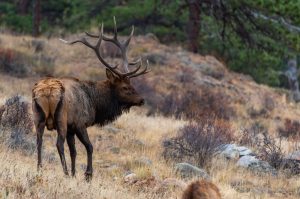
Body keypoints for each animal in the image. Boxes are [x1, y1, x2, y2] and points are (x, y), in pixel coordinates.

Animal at [32, 19, 149, 180]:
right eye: (125, 87)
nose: (142, 100)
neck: (94, 103)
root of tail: (47, 92)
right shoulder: (79, 123)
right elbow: (89, 147)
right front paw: (87, 174)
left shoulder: (71, 129)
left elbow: (74, 152)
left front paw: (75, 174)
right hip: (61, 118)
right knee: (58, 144)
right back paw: (65, 173)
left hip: (38, 117)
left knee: (39, 141)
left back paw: (39, 170)